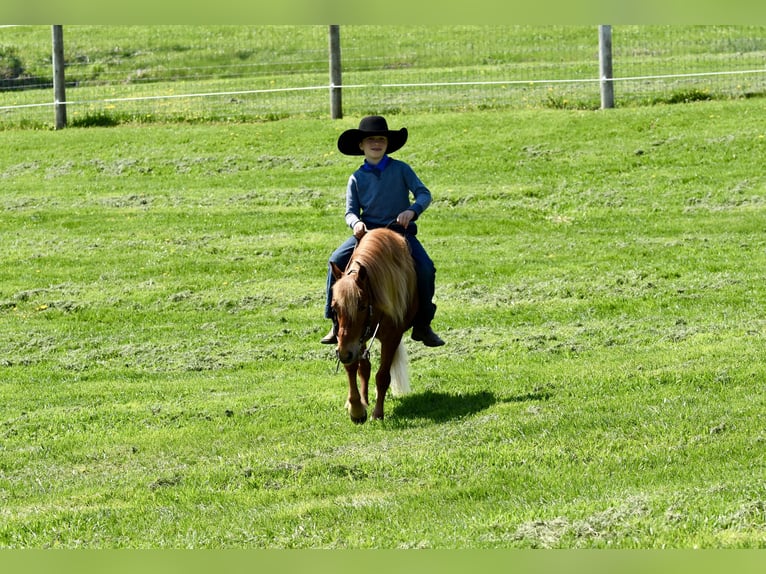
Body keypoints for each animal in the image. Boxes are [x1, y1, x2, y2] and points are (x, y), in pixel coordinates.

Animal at [330, 227, 418, 423]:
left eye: (362, 305)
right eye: (334, 307)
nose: (344, 353)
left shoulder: (392, 337)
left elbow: (383, 376)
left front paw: (377, 413)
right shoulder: (352, 341)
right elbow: (353, 368)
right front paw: (356, 408)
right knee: (364, 368)